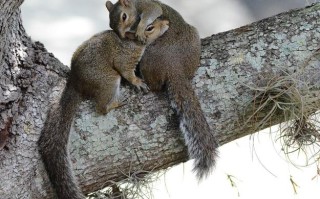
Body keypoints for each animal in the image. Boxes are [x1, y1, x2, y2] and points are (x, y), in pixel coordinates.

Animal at [37, 16, 169, 198]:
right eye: (150, 28)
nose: (168, 23)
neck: (133, 43)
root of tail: (76, 83)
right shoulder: (124, 59)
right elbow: (126, 72)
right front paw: (137, 82)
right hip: (108, 80)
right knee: (101, 107)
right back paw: (116, 103)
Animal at [106, 0, 219, 180]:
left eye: (124, 16)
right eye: (111, 23)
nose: (122, 35)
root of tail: (174, 66)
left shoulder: (146, 6)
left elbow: (153, 10)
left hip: (146, 60)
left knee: (154, 86)